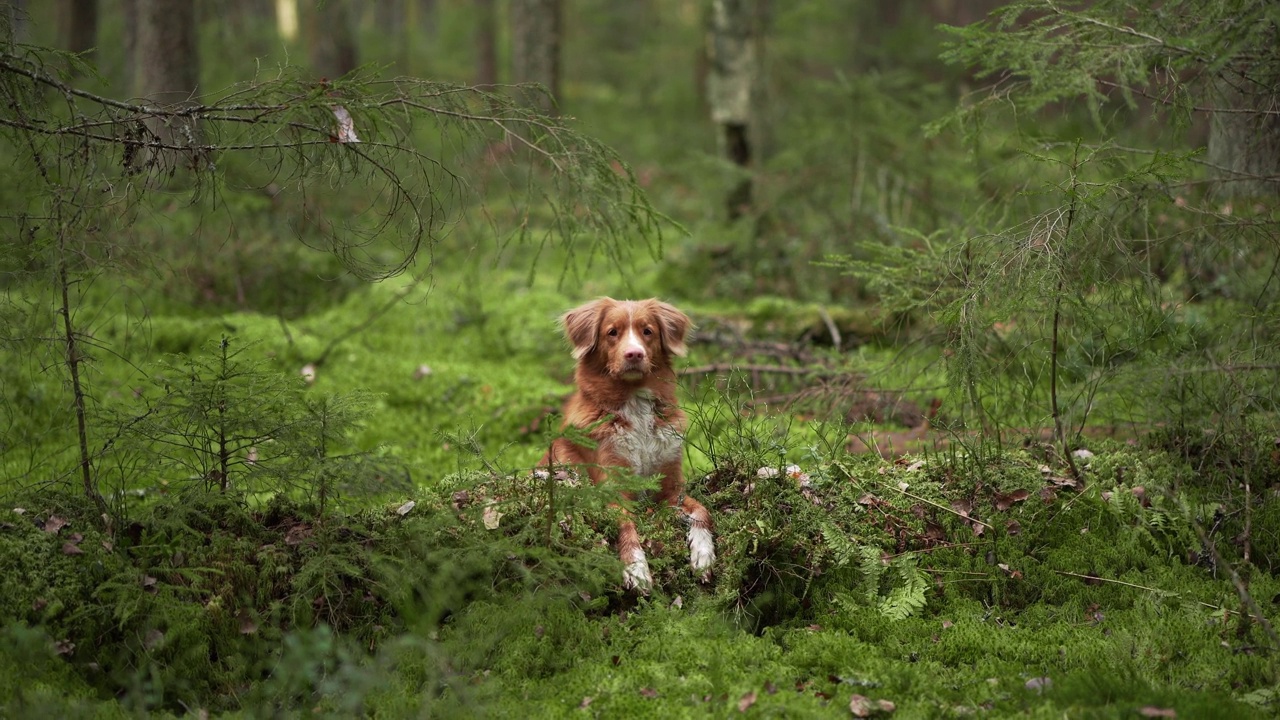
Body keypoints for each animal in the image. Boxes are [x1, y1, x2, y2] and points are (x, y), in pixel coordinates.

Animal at [540, 297, 716, 589]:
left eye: (647, 331)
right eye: (612, 332)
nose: (634, 354)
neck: (634, 402)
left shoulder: (670, 488)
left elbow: (702, 511)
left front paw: (703, 554)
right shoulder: (613, 489)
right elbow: (625, 526)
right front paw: (636, 568)